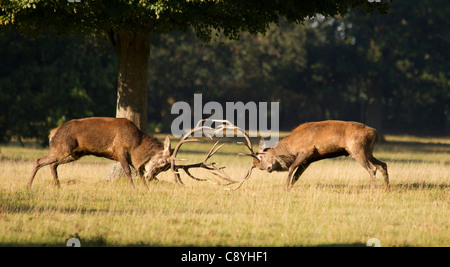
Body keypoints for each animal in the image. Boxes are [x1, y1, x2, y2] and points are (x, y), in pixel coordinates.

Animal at [27, 117, 236, 188]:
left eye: (164, 169)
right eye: (163, 164)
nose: (153, 177)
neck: (136, 143)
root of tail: (52, 132)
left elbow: (139, 171)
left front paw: (145, 188)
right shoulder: (119, 149)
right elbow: (130, 170)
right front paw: (134, 188)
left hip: (74, 153)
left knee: (52, 164)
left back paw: (57, 186)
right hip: (63, 147)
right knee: (38, 160)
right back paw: (28, 185)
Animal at [220, 120, 388, 192]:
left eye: (261, 157)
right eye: (258, 167)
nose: (268, 168)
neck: (291, 147)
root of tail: (375, 133)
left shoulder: (306, 151)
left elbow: (291, 169)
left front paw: (285, 188)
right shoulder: (308, 161)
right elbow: (296, 176)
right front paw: (289, 187)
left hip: (356, 149)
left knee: (372, 168)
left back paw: (372, 190)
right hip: (368, 151)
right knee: (383, 165)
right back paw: (387, 188)